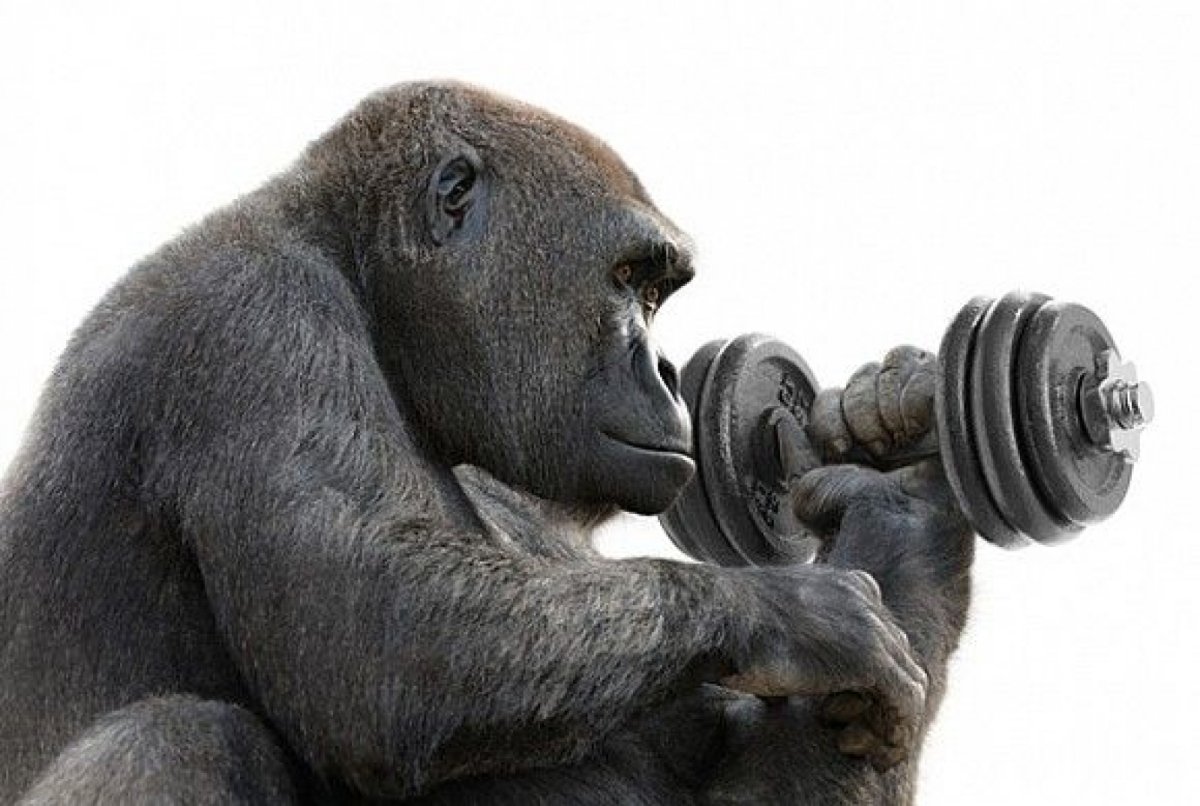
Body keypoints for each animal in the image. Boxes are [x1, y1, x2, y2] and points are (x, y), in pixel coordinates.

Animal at [0, 81, 970, 804]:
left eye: (658, 292)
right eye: (630, 279)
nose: (663, 367)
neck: (360, 274)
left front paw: (904, 511)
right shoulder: (253, 318)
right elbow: (378, 644)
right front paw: (790, 612)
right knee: (178, 737)